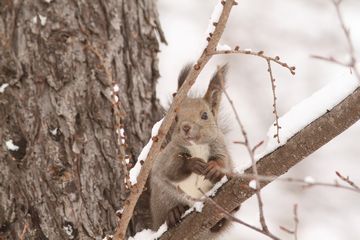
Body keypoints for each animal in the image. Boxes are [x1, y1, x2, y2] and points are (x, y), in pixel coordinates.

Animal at [150, 63, 232, 232]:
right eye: (175, 117)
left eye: (205, 115)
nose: (186, 127)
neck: (197, 148)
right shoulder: (169, 155)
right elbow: (172, 170)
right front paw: (193, 163)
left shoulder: (220, 148)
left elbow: (224, 163)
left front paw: (214, 168)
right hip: (163, 197)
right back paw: (174, 212)